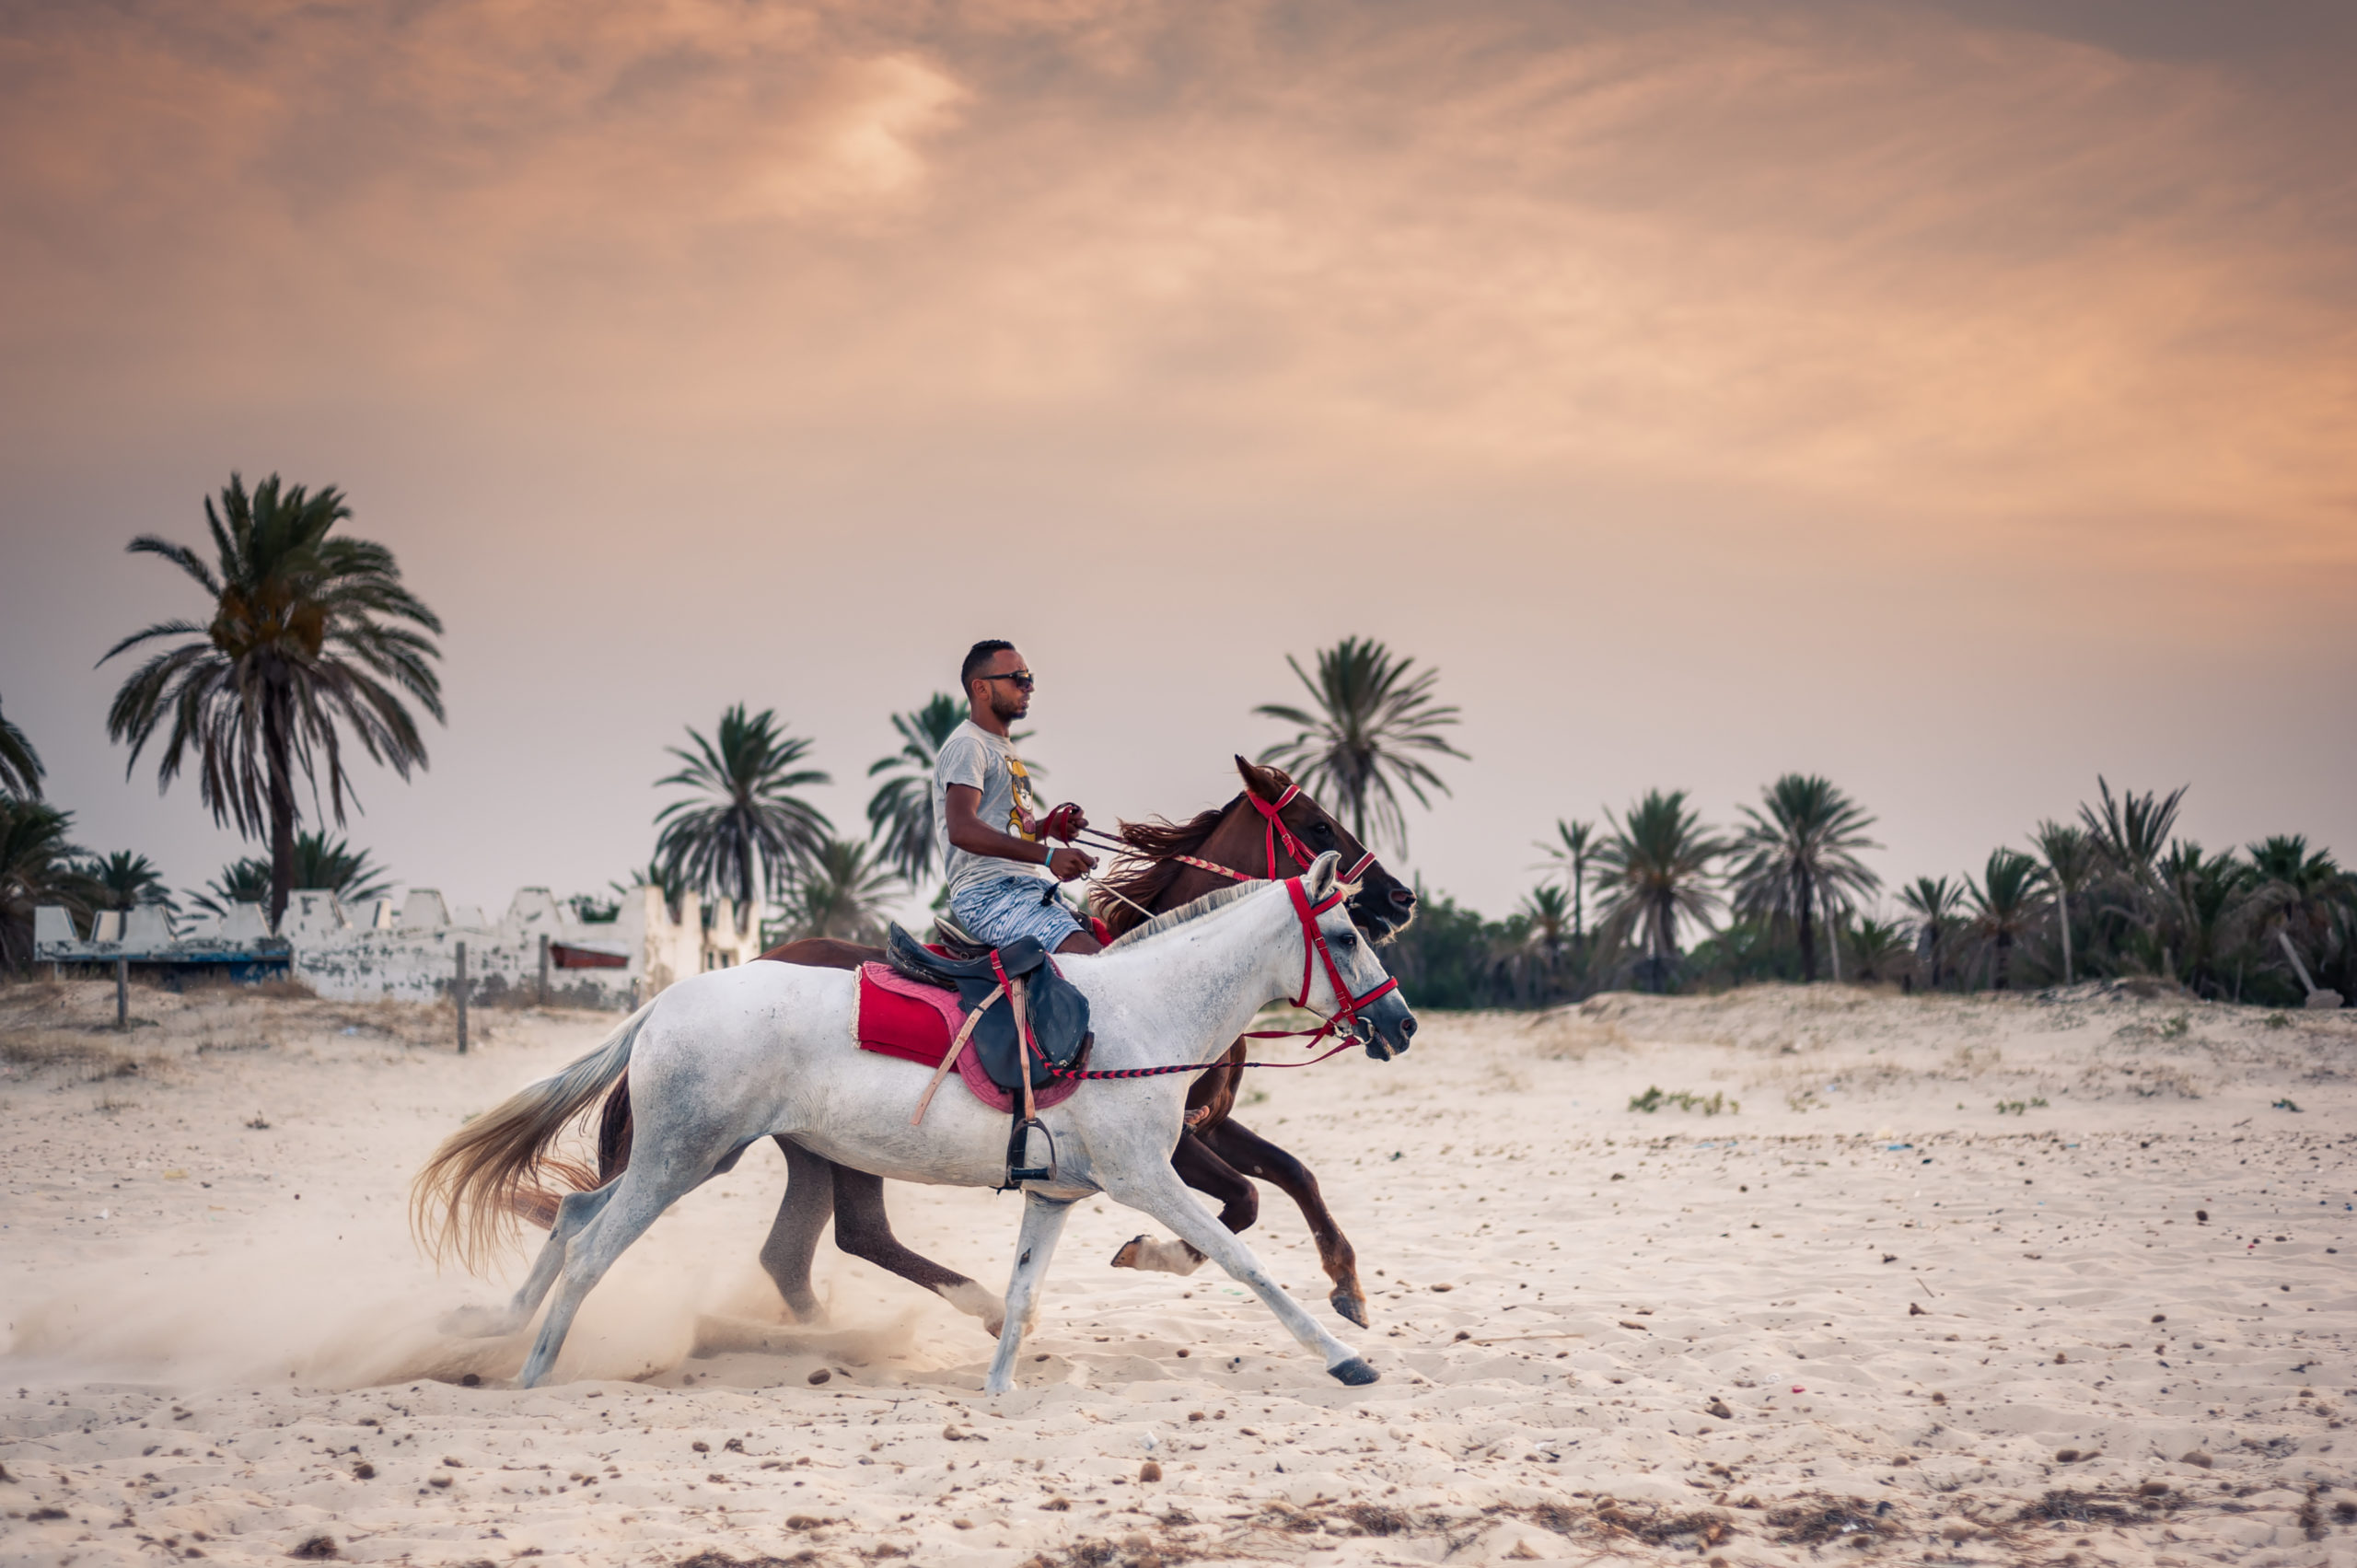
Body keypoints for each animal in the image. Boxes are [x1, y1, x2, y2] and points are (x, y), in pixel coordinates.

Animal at [414, 858, 1414, 1396]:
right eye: (1349, 937)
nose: (1400, 1024)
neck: (1142, 1012)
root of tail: (664, 1000)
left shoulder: (1056, 1194)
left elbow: (1022, 1294)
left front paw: (1000, 1387)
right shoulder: (1152, 1176)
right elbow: (1245, 1256)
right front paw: (1343, 1355)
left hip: (693, 1154)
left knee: (577, 1217)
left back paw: (505, 1332)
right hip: (680, 1161)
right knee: (595, 1248)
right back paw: (534, 1371)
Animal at [575, 759, 1414, 1330]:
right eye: (1317, 825)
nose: (1401, 896)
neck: (1172, 974)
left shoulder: (1205, 1119)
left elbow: (1293, 1174)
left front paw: (1347, 1284)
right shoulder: (1168, 1139)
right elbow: (1243, 1199)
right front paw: (1151, 1251)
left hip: (816, 1145)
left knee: (799, 1252)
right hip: (843, 1146)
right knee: (856, 1233)